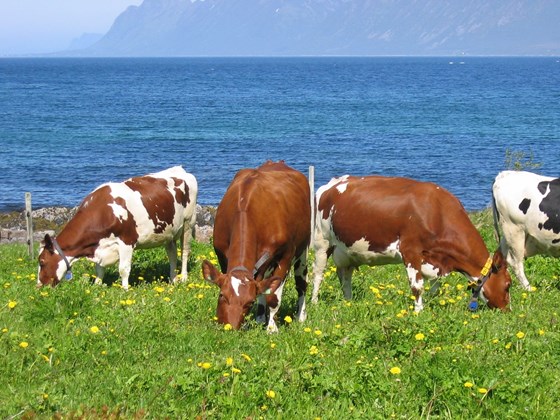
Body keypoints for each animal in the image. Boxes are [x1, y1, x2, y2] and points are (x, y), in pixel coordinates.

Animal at [202, 161, 316, 332]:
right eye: (222, 295)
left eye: (249, 303)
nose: (229, 327)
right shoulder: (221, 254)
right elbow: (262, 289)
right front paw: (262, 320)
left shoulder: (286, 256)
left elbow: (273, 297)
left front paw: (272, 328)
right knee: (262, 283)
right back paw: (261, 317)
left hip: (303, 249)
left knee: (301, 283)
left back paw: (300, 316)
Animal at [310, 175, 512, 312]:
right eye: (508, 284)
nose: (507, 310)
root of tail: (331, 184)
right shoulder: (410, 251)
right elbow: (417, 286)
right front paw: (418, 312)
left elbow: (435, 287)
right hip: (322, 241)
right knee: (318, 273)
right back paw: (314, 302)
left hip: (347, 250)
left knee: (345, 275)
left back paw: (349, 301)